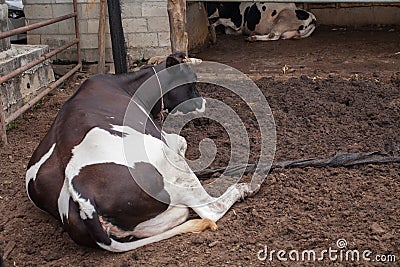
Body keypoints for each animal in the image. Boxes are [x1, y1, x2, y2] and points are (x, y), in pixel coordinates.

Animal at [25, 52, 260, 253]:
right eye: (191, 83)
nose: (203, 107)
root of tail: (82, 198)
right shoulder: (167, 139)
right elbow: (183, 143)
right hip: (169, 163)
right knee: (210, 208)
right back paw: (245, 187)